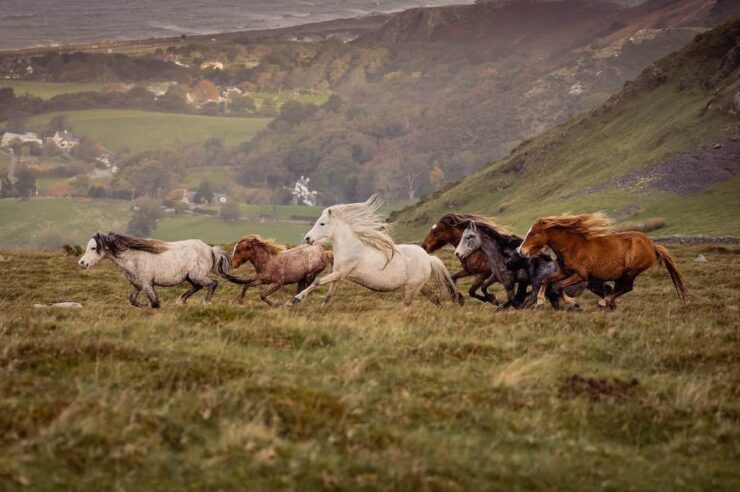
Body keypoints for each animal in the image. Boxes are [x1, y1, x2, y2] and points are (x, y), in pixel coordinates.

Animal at [77, 232, 230, 308]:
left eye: (93, 248)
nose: (82, 263)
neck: (133, 258)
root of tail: (210, 249)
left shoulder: (146, 284)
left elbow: (155, 303)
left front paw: (150, 305)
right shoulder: (137, 285)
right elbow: (133, 301)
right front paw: (145, 305)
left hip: (197, 275)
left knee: (213, 283)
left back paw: (206, 302)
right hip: (190, 277)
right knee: (198, 286)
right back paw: (181, 300)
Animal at [288, 194, 462, 306]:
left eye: (322, 223)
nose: (308, 238)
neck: (351, 249)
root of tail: (428, 258)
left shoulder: (341, 273)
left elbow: (317, 281)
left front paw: (293, 300)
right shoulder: (339, 276)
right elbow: (328, 296)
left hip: (410, 288)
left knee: (407, 306)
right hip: (420, 286)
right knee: (436, 300)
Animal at [516, 213, 688, 310]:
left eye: (533, 233)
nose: (520, 251)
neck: (572, 247)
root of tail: (653, 245)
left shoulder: (581, 275)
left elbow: (558, 286)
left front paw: (572, 302)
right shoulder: (564, 271)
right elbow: (546, 280)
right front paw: (540, 301)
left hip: (631, 272)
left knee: (627, 287)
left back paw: (603, 303)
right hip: (622, 274)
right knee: (619, 288)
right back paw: (609, 304)